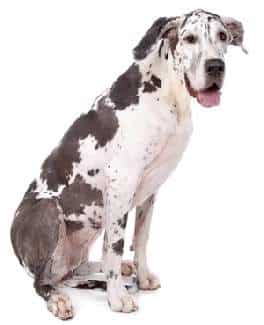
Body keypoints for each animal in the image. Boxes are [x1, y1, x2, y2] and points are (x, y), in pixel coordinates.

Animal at [11, 8, 246, 318]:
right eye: (190, 38)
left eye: (223, 36)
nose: (216, 67)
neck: (169, 95)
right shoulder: (121, 183)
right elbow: (115, 245)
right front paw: (117, 297)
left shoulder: (151, 189)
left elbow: (141, 238)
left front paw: (141, 277)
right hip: (46, 209)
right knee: (43, 282)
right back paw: (59, 299)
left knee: (69, 271)